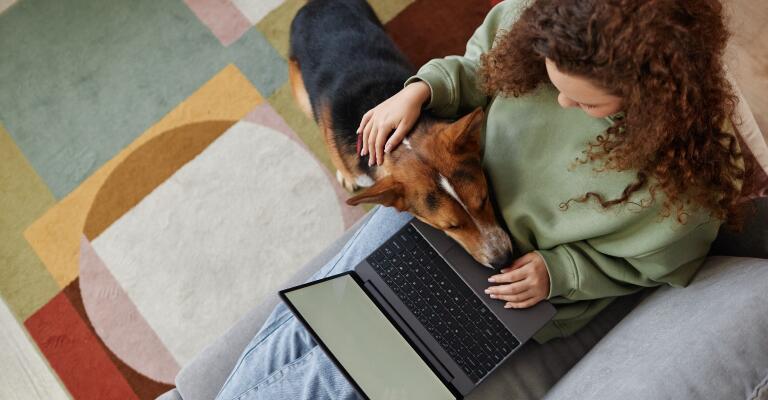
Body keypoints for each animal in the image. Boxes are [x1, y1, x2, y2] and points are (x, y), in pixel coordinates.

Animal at [284, 0, 512, 268]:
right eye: (451, 227)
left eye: (485, 199)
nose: (504, 260)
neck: (399, 139)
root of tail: (315, 4)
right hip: (301, 92)